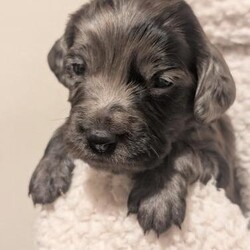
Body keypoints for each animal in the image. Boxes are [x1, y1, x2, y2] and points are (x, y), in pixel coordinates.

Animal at [28, 0, 237, 234]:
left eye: (162, 81)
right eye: (78, 67)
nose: (99, 140)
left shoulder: (217, 162)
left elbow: (182, 153)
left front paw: (157, 197)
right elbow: (64, 131)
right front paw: (48, 172)